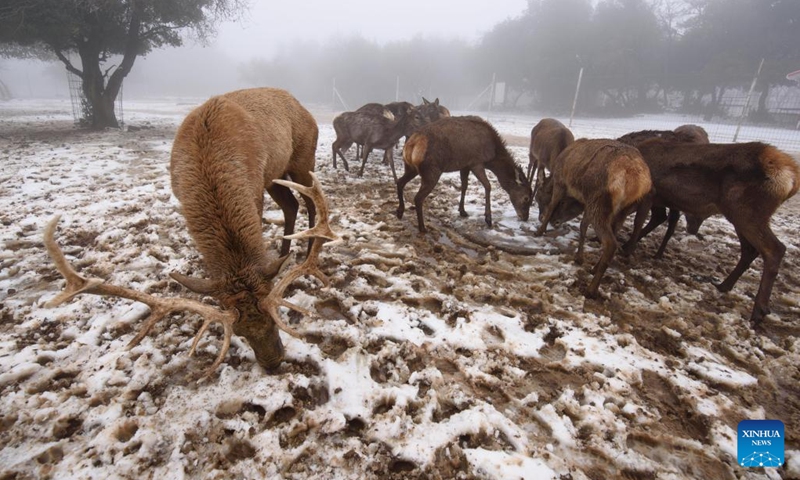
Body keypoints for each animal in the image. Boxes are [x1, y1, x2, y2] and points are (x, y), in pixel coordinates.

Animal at [43, 87, 340, 378]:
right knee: (290, 205)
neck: (207, 159)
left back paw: (306, 249)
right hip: (275, 175)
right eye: (240, 332)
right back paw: (283, 252)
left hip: (302, 158)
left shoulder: (254, 188)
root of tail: (301, 106)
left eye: (275, 317)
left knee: (310, 203)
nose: (273, 363)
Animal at [396, 115, 536, 233]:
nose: (525, 217)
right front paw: (488, 219)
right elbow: (488, 186)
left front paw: (462, 211)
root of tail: (411, 144)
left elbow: (464, 186)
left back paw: (399, 211)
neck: (492, 155)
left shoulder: (465, 165)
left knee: (400, 182)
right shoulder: (476, 162)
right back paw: (422, 227)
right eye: (526, 198)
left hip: (411, 168)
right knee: (418, 198)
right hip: (431, 171)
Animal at [536, 137, 652, 298]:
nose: (542, 218)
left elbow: (553, 205)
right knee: (614, 234)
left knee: (611, 243)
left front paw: (540, 231)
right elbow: (583, 225)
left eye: (538, 197)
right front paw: (579, 257)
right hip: (622, 209)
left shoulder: (561, 182)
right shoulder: (587, 202)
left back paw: (591, 289)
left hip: (599, 199)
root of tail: (636, 181)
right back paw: (594, 268)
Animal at [636, 139, 796, 326]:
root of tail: (793, 179)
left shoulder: (651, 196)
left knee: (775, 249)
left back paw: (758, 311)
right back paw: (724, 285)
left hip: (746, 213)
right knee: (750, 250)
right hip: (739, 216)